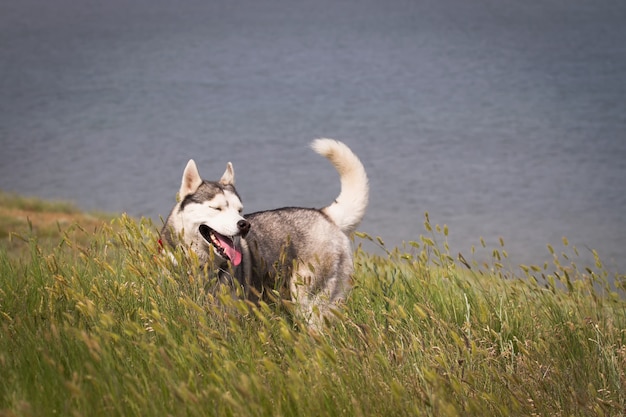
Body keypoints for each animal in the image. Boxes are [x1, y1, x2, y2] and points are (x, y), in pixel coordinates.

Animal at [158, 138, 368, 326]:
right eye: (217, 208)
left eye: (239, 210)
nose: (244, 224)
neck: (202, 267)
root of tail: (324, 214)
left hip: (308, 301)